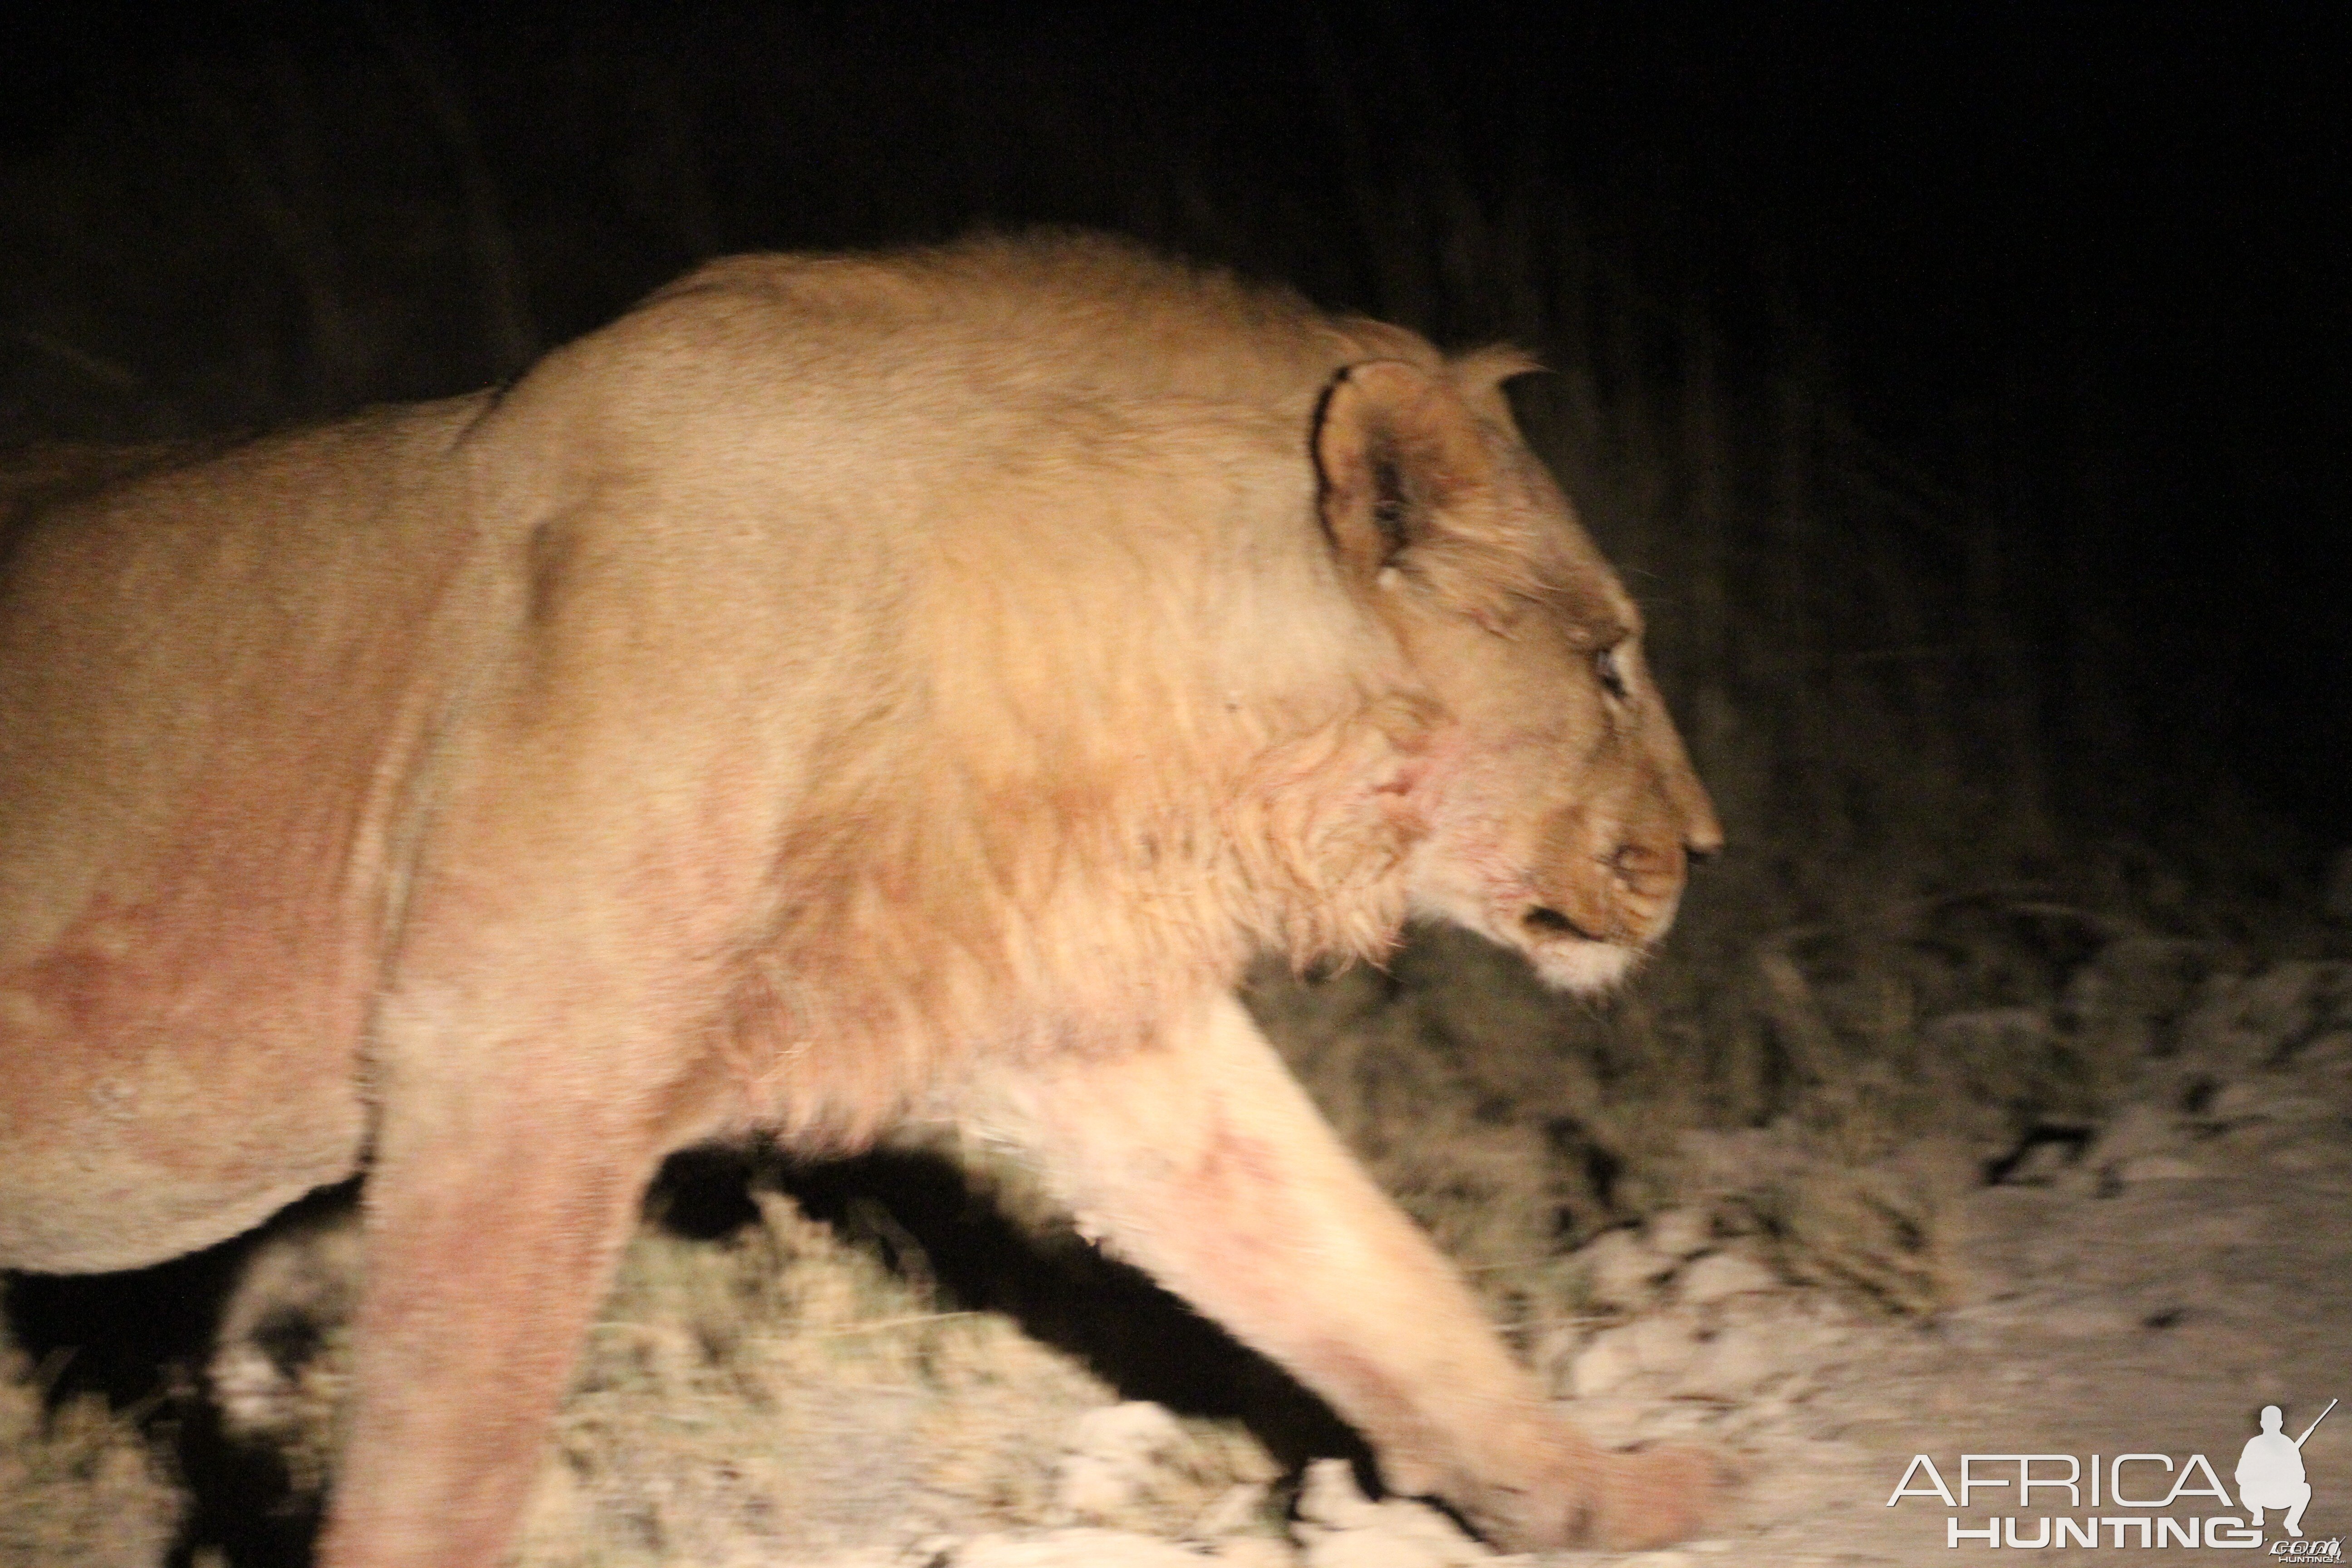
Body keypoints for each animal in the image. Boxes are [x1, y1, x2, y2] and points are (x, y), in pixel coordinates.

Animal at [5, 232, 1731, 1568]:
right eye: (1606, 664)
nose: (1709, 848)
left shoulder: (1086, 1032)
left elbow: (1359, 1261)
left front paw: (1600, 1497)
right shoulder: (506, 1066)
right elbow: (451, 1449)